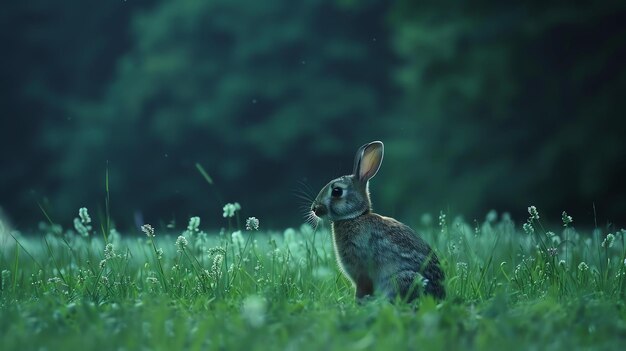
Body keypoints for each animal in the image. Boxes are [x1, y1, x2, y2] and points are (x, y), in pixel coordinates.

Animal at [310, 141, 442, 302]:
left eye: (336, 191)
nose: (315, 208)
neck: (354, 217)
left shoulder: (361, 270)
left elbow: (362, 287)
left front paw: (358, 301)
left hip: (402, 279)